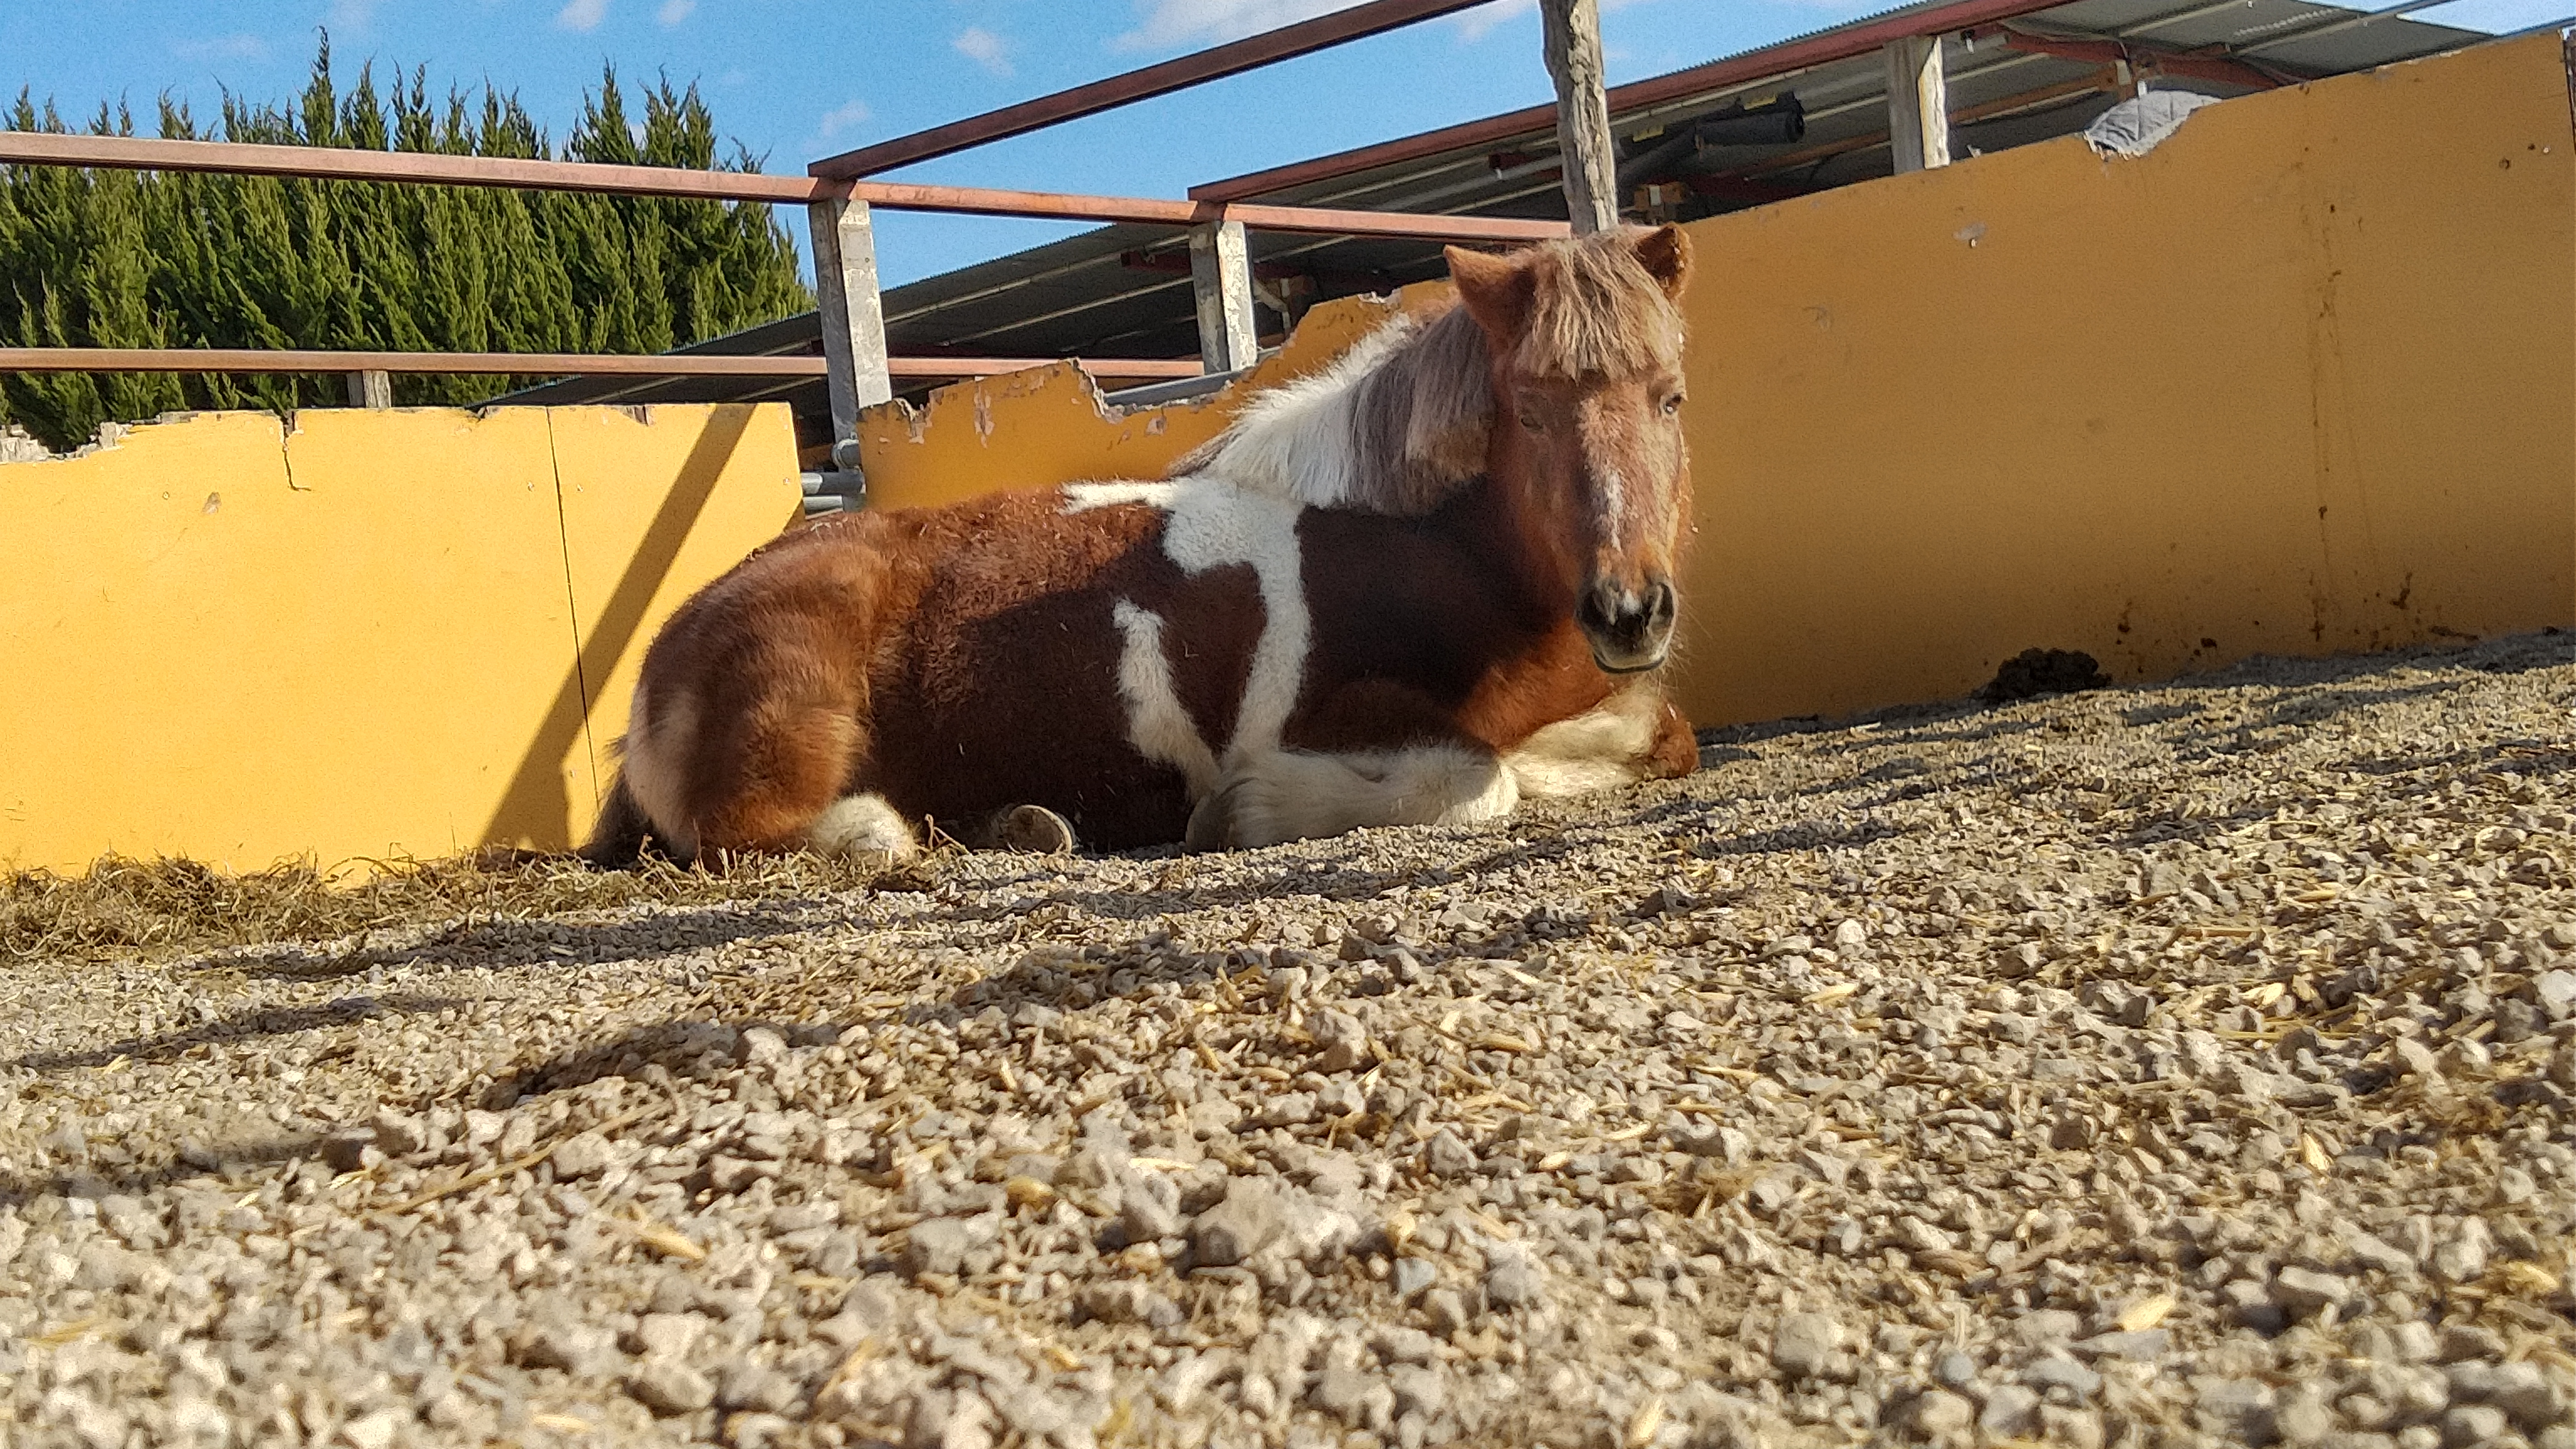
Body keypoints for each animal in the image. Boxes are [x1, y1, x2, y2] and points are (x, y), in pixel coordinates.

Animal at [582, 223, 1701, 866]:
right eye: (1530, 409)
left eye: (1669, 397)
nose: (1629, 611)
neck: (1428, 551)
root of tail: (668, 646)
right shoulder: (1367, 720)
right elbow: (1481, 783)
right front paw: (1241, 814)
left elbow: (1658, 734)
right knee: (758, 834)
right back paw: (900, 832)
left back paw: (1024, 825)